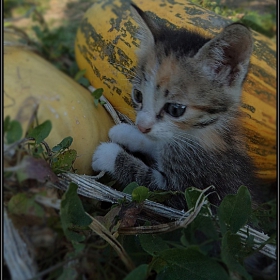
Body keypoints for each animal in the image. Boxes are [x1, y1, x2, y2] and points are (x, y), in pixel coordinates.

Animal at [92, 4, 260, 210]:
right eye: (138, 95)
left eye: (175, 110)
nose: (141, 126)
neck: (205, 132)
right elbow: (157, 142)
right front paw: (126, 132)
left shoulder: (187, 190)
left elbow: (146, 180)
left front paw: (107, 154)